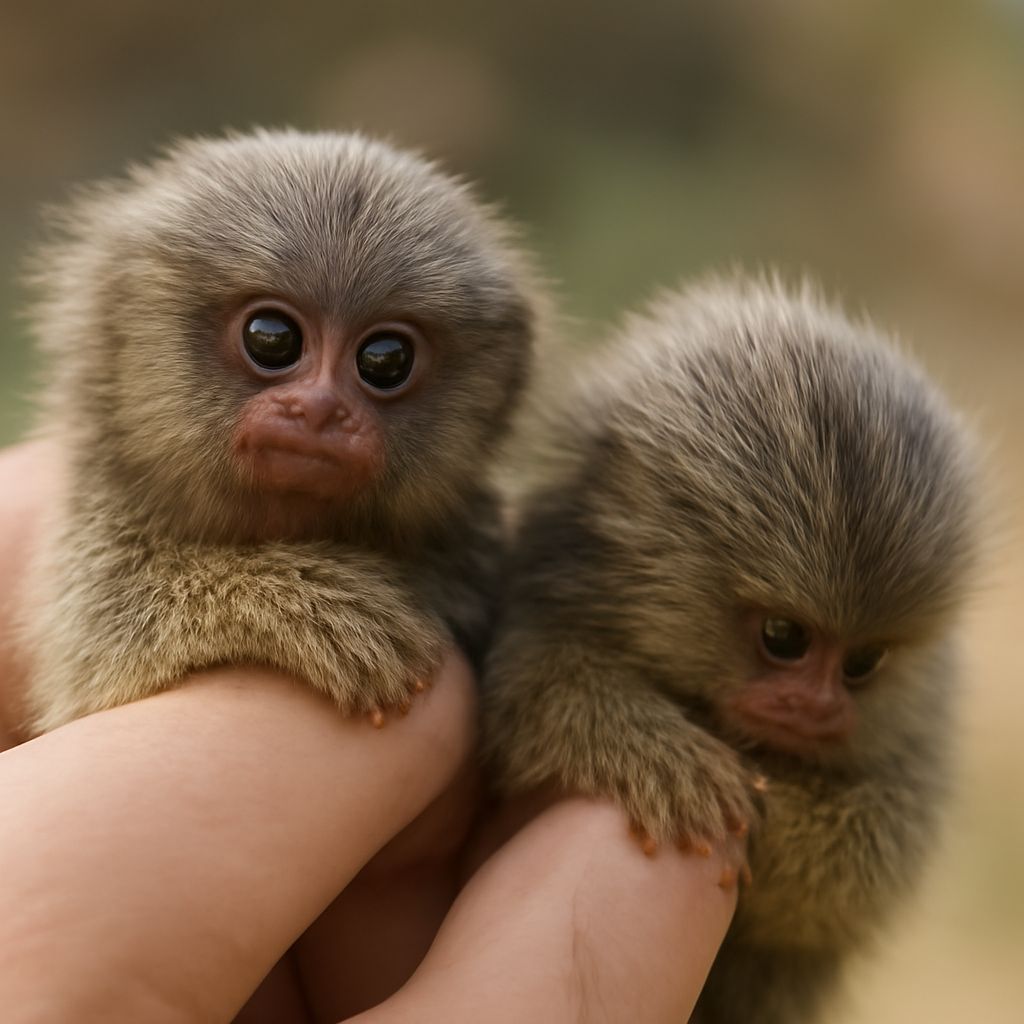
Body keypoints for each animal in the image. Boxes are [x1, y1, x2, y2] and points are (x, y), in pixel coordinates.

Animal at [20, 129, 545, 735]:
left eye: (385, 359)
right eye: (272, 337)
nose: (318, 410)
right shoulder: (98, 543)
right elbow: (109, 655)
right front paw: (302, 604)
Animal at [481, 276, 979, 1023]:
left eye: (862, 664)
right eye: (785, 638)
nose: (816, 708)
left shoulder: (919, 726)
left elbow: (869, 863)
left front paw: (779, 828)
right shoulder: (547, 592)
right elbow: (536, 697)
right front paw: (660, 757)